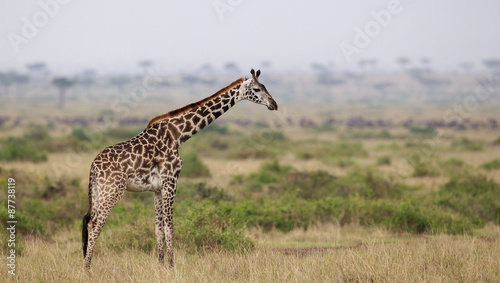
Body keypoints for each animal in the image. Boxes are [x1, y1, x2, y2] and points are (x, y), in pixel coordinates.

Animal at [82, 69, 278, 270]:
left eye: (265, 87)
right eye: (257, 89)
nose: (274, 104)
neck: (178, 135)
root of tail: (94, 165)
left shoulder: (157, 188)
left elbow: (158, 229)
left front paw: (160, 265)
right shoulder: (171, 181)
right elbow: (170, 228)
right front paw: (171, 266)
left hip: (99, 191)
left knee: (90, 222)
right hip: (112, 190)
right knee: (95, 224)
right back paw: (87, 269)